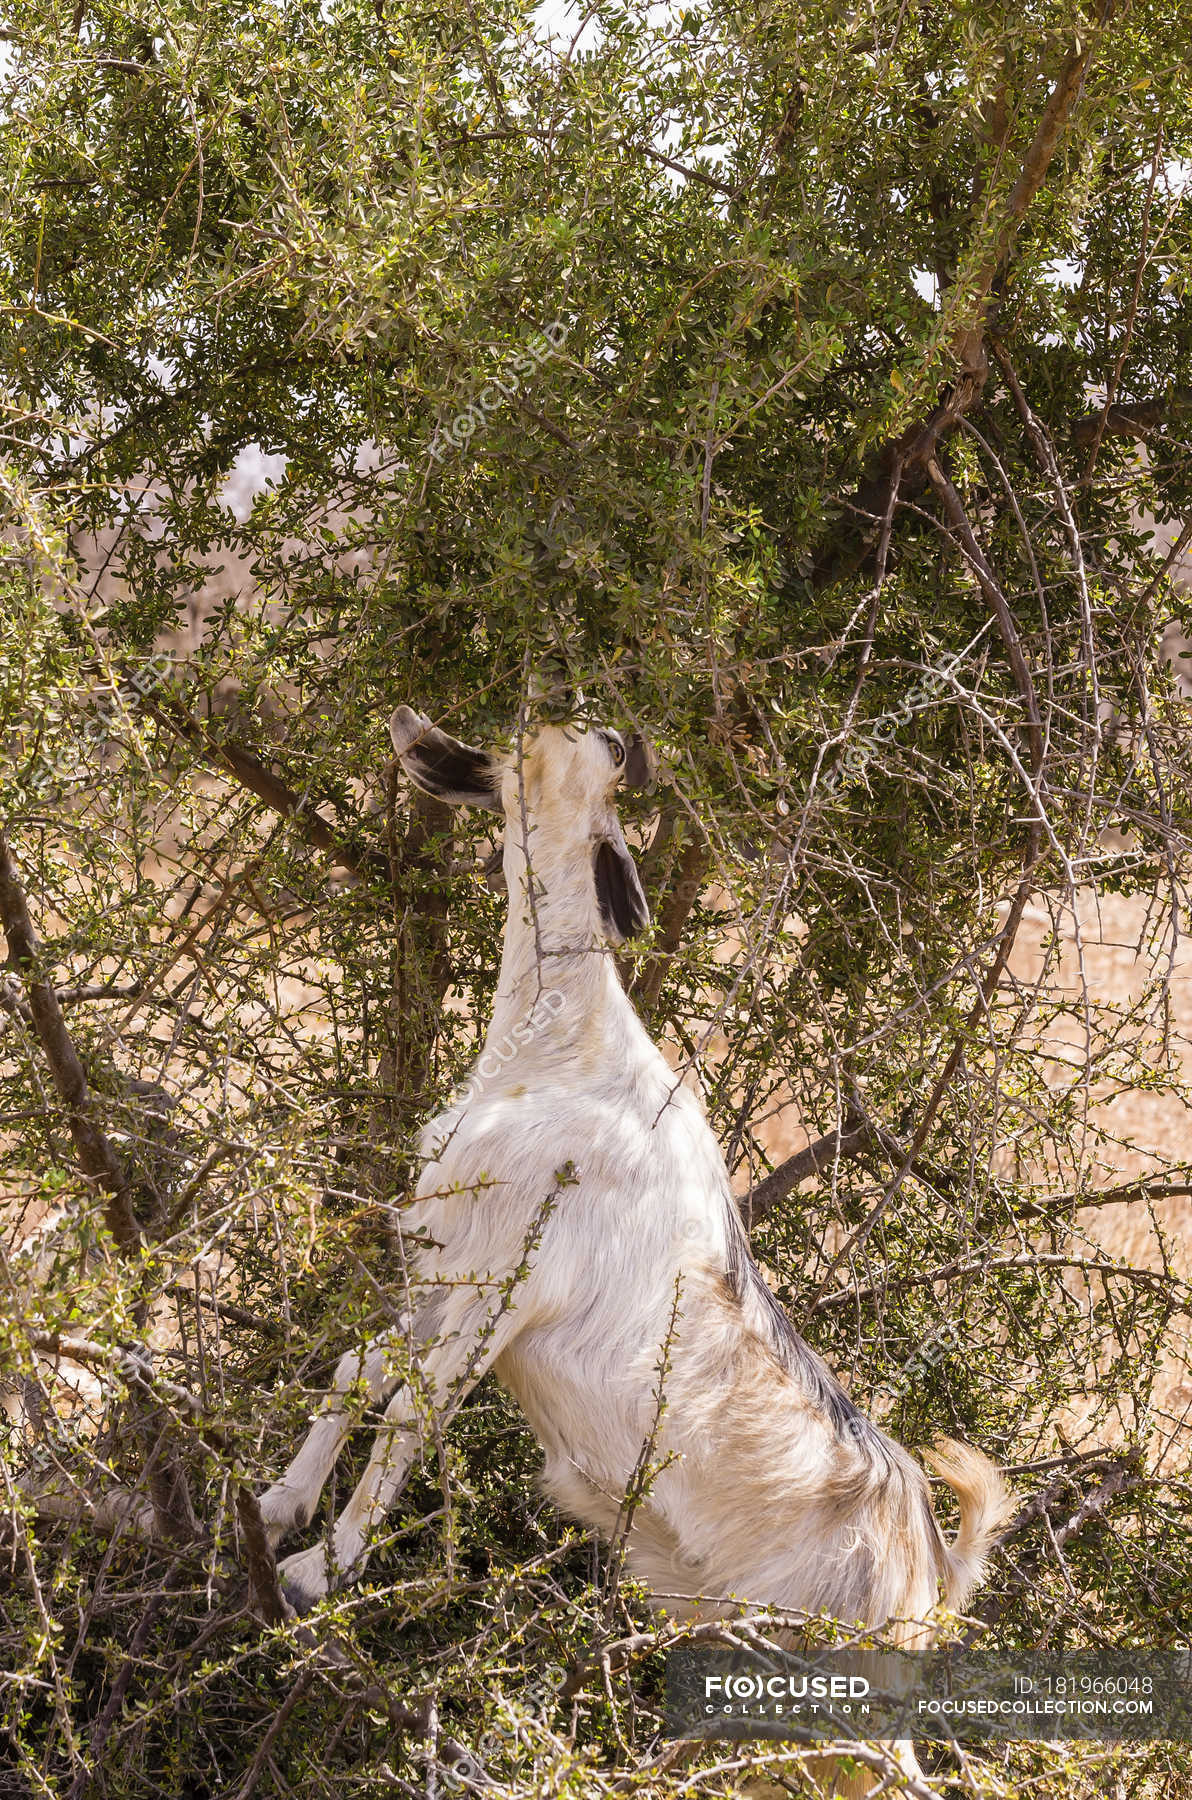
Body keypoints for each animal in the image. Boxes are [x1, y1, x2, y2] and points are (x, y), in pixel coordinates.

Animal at [260, 706, 1010, 1780]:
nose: (411, 723)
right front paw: (278, 1508)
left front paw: (313, 1574)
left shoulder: (508, 1283)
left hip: (852, 1714)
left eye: (583, 738)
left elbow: (409, 1413)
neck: (559, 1049)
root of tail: (931, 1568)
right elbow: (359, 1368)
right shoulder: (449, 1261)